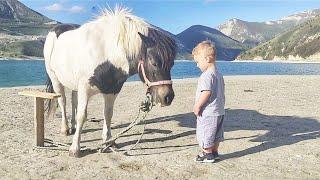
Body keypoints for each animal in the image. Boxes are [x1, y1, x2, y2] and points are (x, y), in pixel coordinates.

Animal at [43, 7, 176, 158]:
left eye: (172, 63)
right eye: (153, 62)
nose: (168, 97)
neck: (106, 53)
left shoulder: (112, 90)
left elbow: (108, 114)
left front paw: (108, 142)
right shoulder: (85, 88)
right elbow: (82, 116)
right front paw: (75, 148)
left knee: (73, 101)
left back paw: (73, 126)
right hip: (55, 79)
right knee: (63, 101)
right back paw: (65, 129)